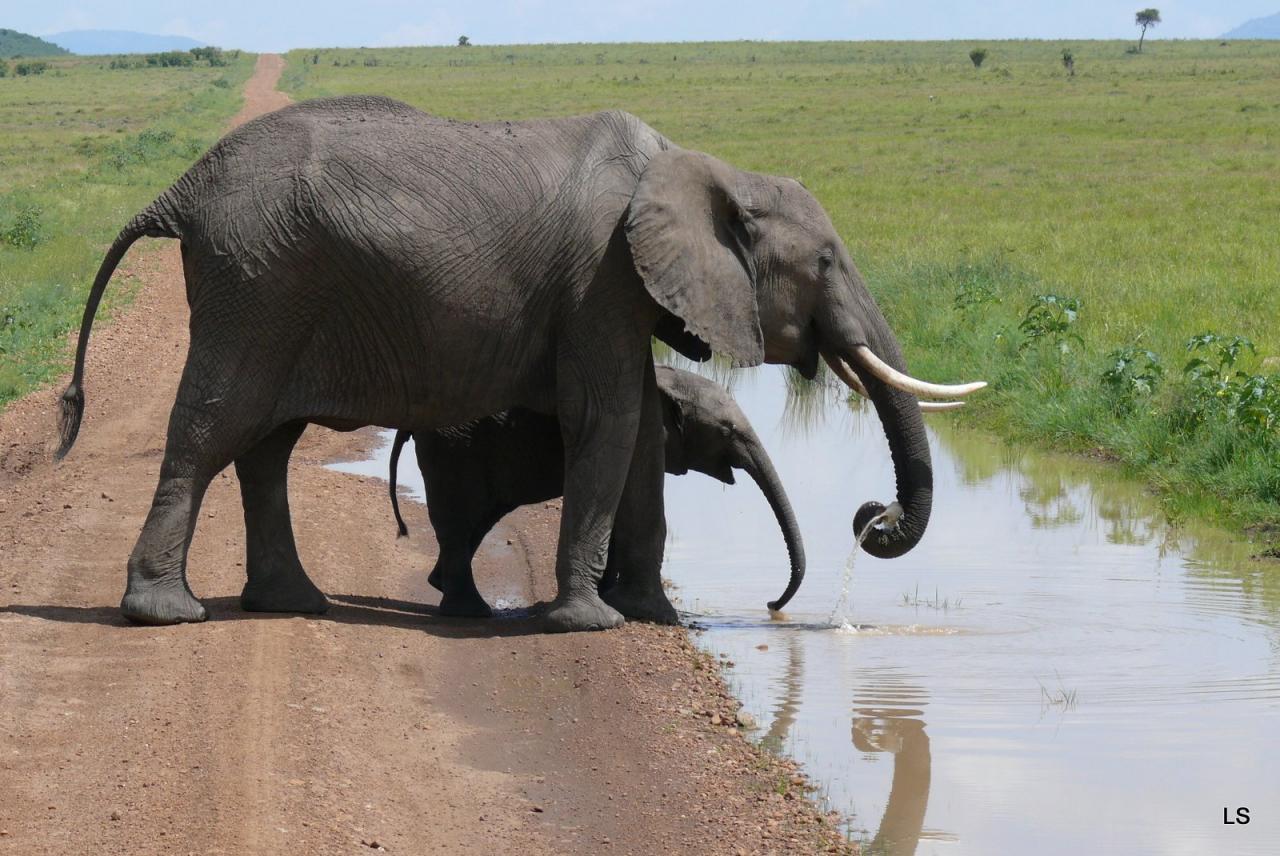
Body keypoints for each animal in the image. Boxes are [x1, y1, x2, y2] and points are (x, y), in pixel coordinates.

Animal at [389, 363, 803, 616]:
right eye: (726, 432)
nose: (770, 604)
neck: (670, 379)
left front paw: (605, 595)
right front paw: (606, 597)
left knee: (477, 519)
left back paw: (441, 585)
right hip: (455, 448)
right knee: (460, 518)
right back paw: (471, 611)